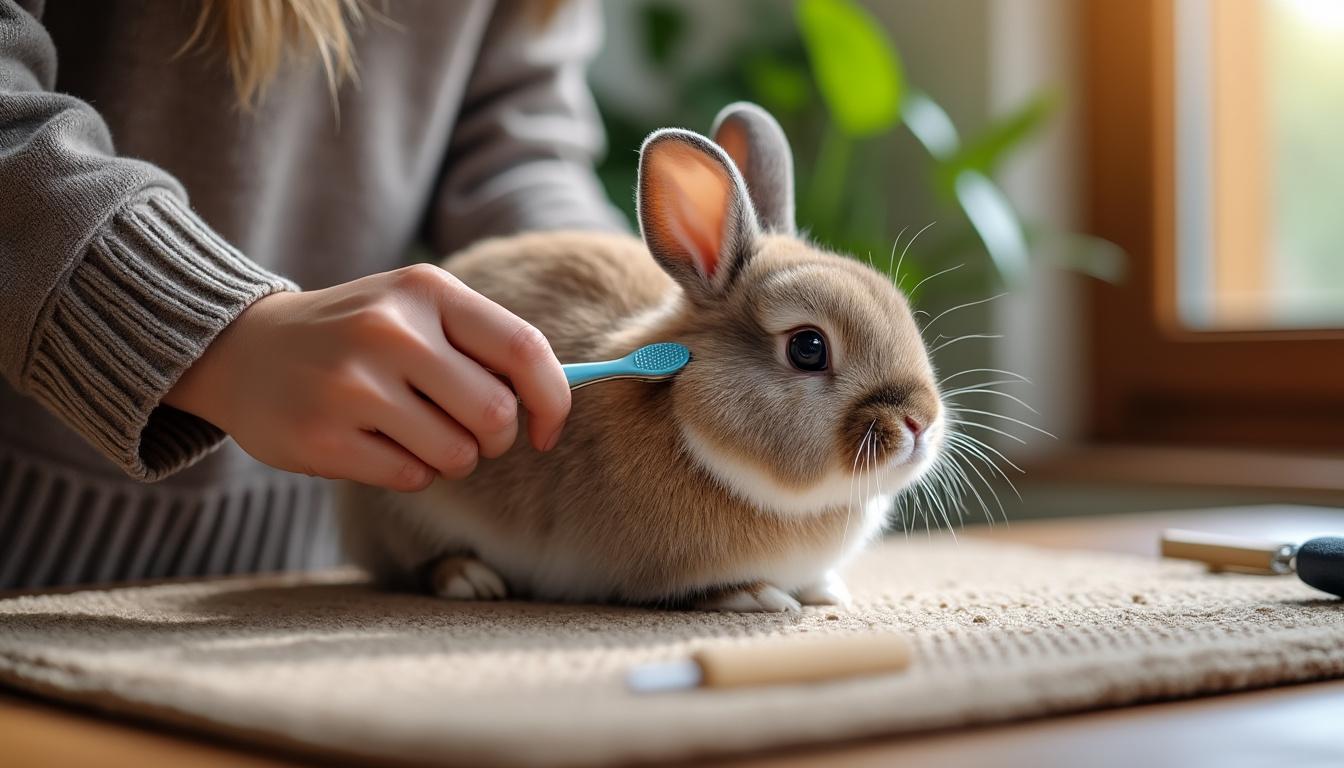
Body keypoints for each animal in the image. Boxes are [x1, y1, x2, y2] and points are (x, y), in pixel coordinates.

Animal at [337, 102, 944, 612]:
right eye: (808, 347)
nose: (920, 422)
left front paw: (826, 591)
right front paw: (759, 596)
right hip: (407, 505)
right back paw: (471, 578)